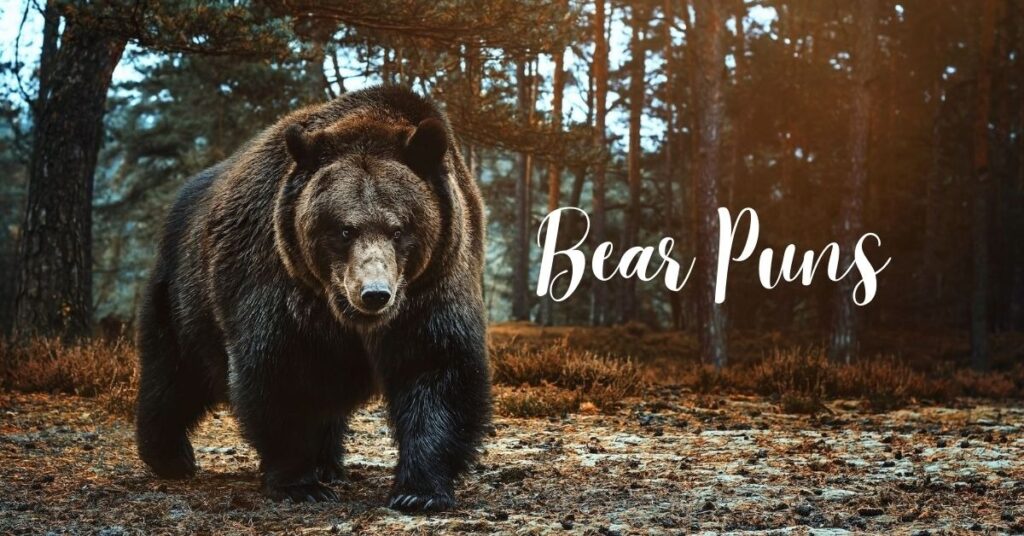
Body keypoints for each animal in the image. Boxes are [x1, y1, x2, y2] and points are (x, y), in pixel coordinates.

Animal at [134, 85, 491, 512]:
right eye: (344, 229)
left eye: (399, 228)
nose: (374, 294)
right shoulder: (280, 283)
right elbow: (281, 373)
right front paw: (299, 482)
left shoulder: (431, 286)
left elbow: (437, 371)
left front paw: (418, 490)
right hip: (185, 296)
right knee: (175, 372)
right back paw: (169, 455)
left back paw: (328, 464)